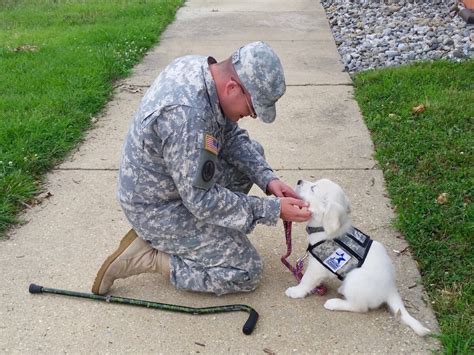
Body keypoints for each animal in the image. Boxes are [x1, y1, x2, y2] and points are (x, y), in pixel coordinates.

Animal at [284, 179, 432, 338]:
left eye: (313, 188)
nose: (299, 181)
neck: (324, 228)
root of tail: (390, 288)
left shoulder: (318, 267)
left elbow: (306, 280)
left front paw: (296, 291)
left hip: (355, 277)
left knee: (360, 307)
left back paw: (334, 303)